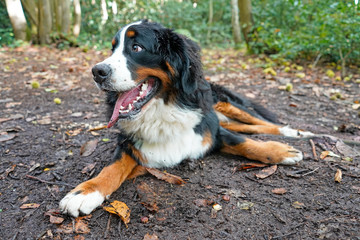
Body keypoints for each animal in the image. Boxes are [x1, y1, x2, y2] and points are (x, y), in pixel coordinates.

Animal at [59, 19, 312, 217]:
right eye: (112, 50)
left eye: (136, 47)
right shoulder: (130, 143)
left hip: (224, 103)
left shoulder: (210, 128)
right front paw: (85, 191)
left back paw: (295, 132)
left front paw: (280, 151)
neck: (163, 110)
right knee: (246, 127)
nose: (97, 72)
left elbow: (246, 143)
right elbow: (112, 166)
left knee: (261, 123)